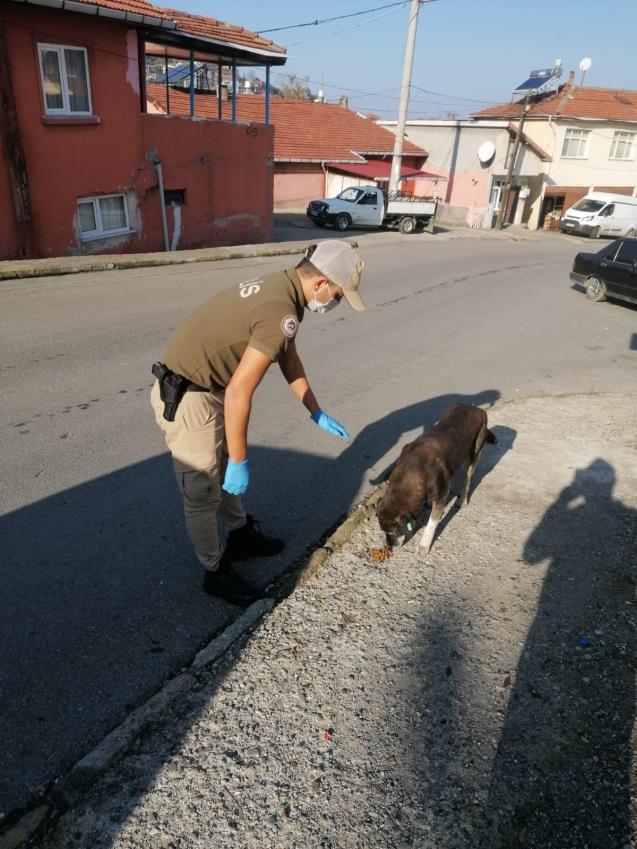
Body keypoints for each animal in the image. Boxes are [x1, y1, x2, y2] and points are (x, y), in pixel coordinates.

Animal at [378, 404, 496, 556]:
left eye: (393, 532)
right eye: (383, 531)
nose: (389, 546)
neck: (412, 468)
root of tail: (476, 408)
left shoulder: (440, 497)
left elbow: (431, 523)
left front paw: (424, 545)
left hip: (475, 451)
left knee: (467, 478)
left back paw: (462, 500)